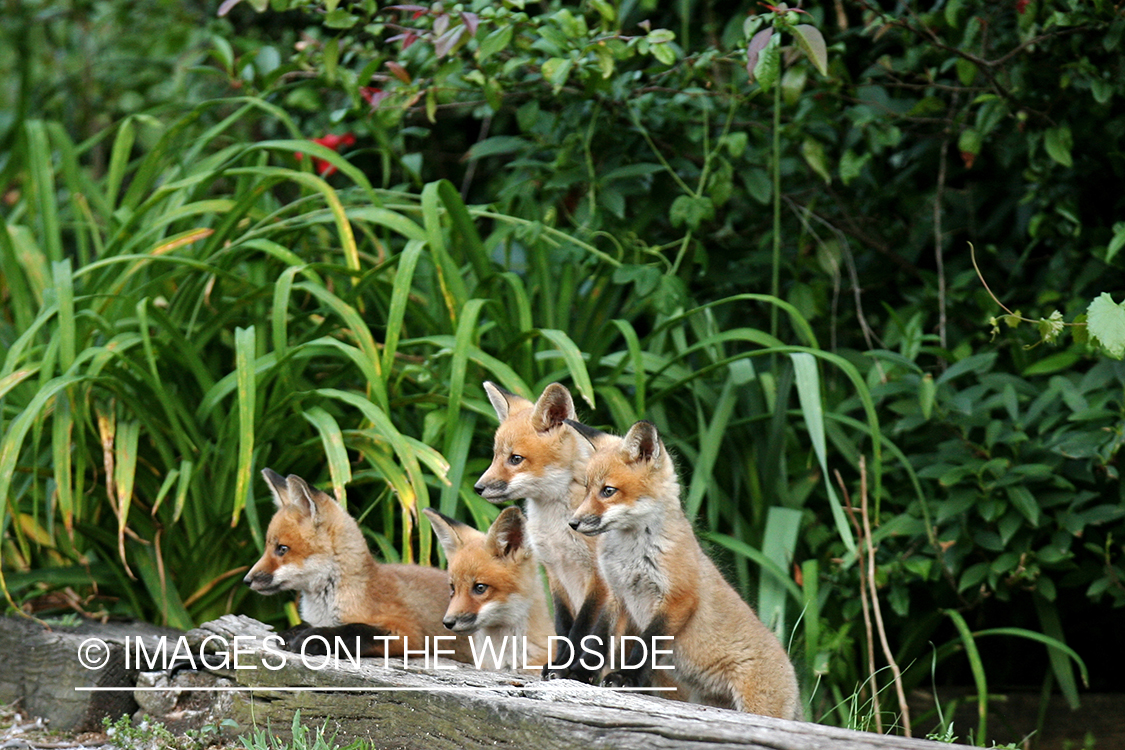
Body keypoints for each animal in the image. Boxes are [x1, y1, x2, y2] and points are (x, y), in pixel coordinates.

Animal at [243, 468, 474, 664]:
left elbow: (354, 631)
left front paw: (313, 638)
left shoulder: (408, 632)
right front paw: (294, 632)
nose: (247, 580)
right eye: (268, 547)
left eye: (282, 549)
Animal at [473, 382, 612, 682]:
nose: (477, 488)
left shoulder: (600, 578)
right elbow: (564, 627)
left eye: (515, 459)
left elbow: (584, 631)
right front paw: (559, 664)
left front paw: (571, 671)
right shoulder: (555, 572)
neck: (556, 527)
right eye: (495, 455)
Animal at [566, 420, 802, 720]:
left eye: (608, 491)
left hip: (757, 708)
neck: (630, 553)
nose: (572, 523)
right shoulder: (617, 595)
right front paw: (576, 674)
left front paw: (626, 678)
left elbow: (647, 643)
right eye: (586, 489)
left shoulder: (678, 597)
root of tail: (793, 675)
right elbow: (597, 642)